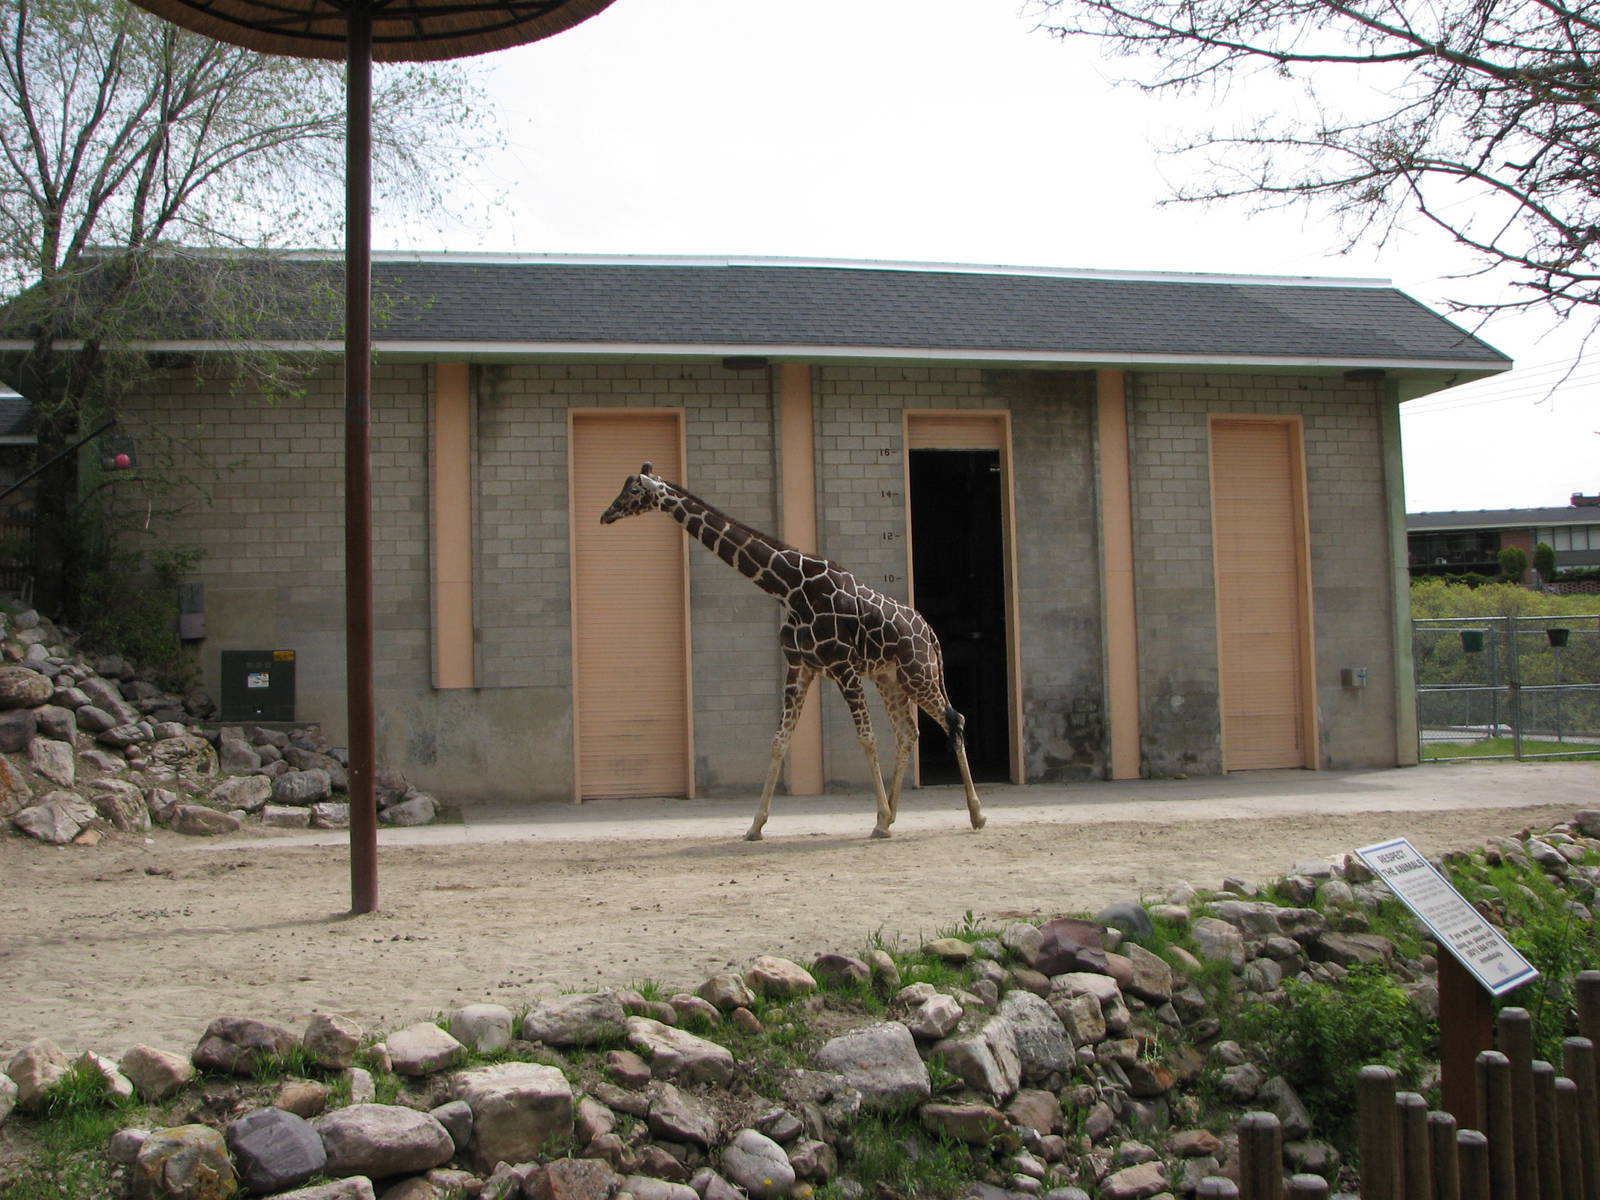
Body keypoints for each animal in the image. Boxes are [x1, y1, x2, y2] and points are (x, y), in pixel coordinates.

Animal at [601, 463, 986, 841]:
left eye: (634, 491)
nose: (606, 514)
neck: (789, 589)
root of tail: (930, 633)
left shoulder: (843, 667)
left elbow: (866, 738)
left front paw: (877, 816)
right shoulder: (800, 666)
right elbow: (779, 740)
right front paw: (755, 826)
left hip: (918, 673)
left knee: (954, 719)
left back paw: (974, 815)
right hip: (889, 679)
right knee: (908, 734)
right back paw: (892, 818)